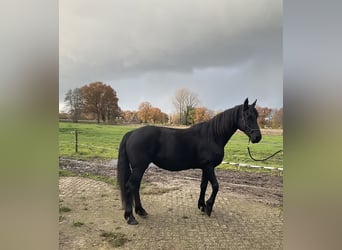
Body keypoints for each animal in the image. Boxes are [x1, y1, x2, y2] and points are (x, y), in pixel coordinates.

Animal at [117, 97, 262, 225]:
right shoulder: (209, 167)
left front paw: (202, 205)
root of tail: (132, 133)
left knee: (136, 187)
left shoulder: (205, 167)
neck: (213, 135)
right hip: (139, 167)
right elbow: (215, 186)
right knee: (130, 186)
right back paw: (130, 217)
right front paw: (209, 207)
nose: (257, 137)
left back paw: (141, 211)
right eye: (248, 116)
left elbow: (203, 185)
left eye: (256, 116)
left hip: (139, 168)